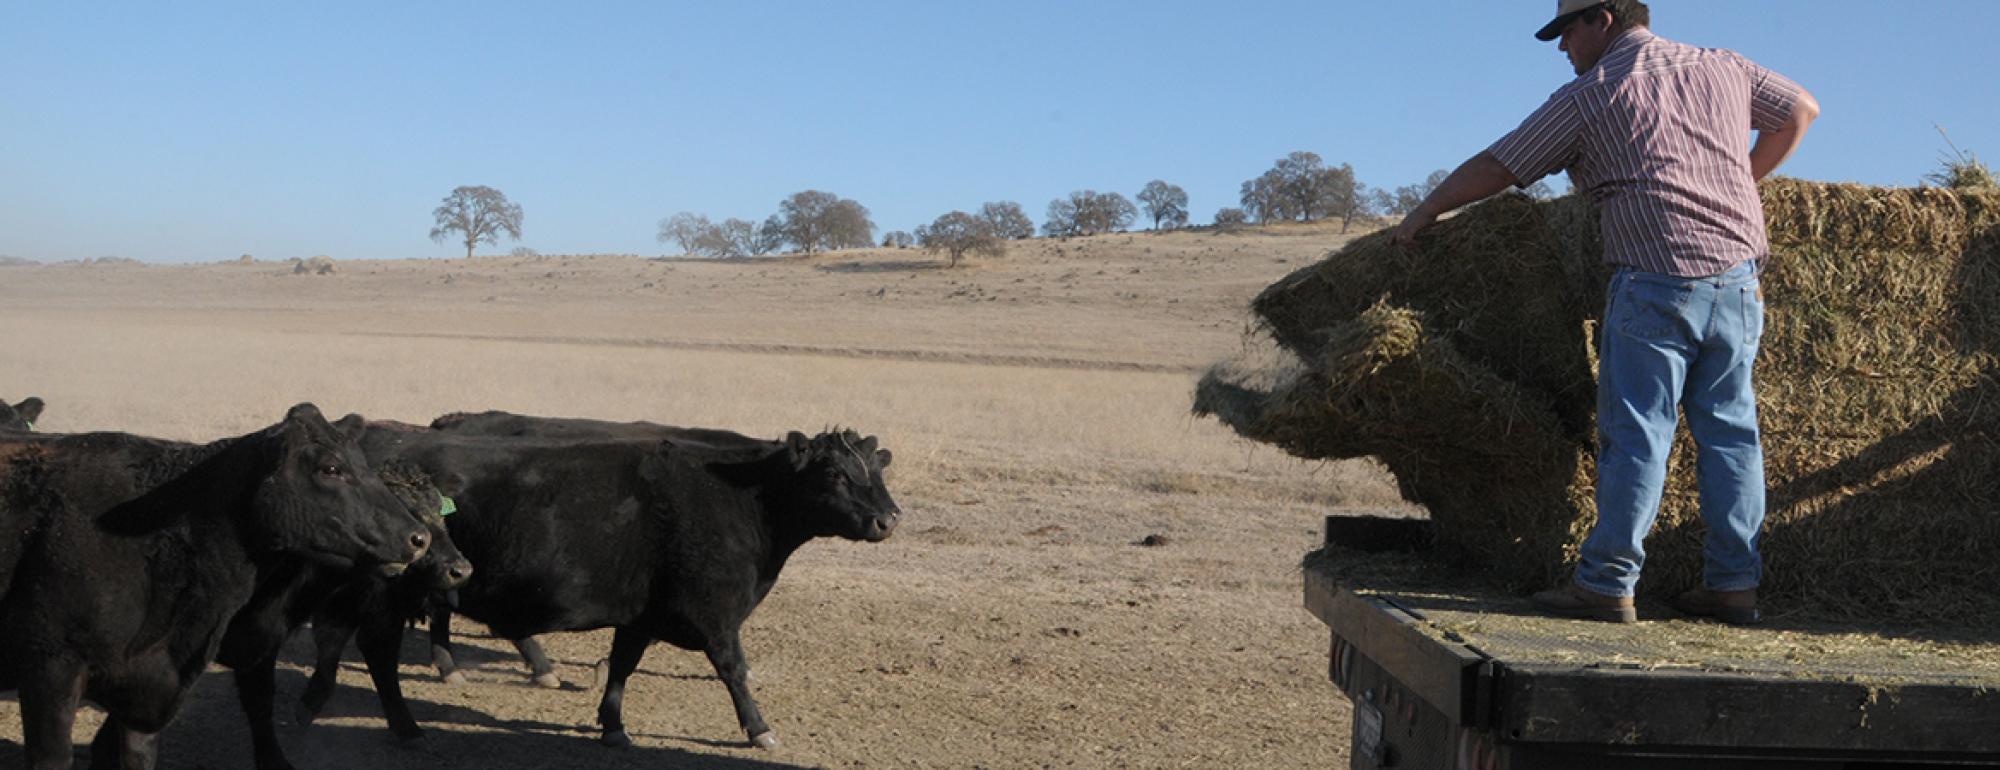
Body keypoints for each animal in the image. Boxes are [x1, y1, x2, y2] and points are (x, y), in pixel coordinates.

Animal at [295, 425, 899, 749]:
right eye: (834, 474)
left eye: (877, 469)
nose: (888, 519)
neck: (742, 500)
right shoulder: (715, 612)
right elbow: (734, 671)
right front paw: (760, 730)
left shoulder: (642, 614)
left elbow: (623, 664)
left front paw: (612, 726)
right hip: (388, 595)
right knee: (375, 651)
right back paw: (404, 724)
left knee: (336, 635)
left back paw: (317, 700)